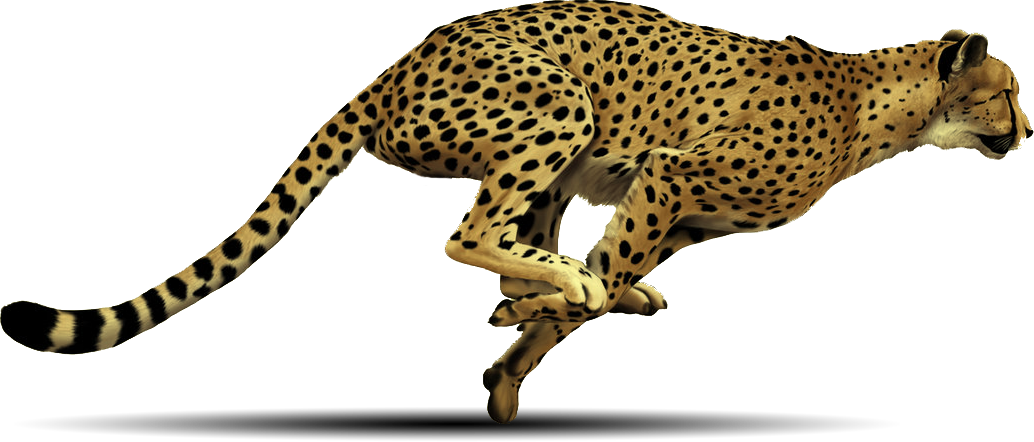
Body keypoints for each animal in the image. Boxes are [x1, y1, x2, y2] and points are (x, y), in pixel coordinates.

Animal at [2, 0, 1030, 424]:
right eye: (1007, 92)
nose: (1027, 132)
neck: (882, 107)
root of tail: (394, 67)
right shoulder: (669, 178)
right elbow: (597, 282)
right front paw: (536, 330)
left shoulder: (679, 212)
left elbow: (597, 286)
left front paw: (515, 351)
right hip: (558, 105)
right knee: (469, 236)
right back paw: (556, 281)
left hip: (557, 157)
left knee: (519, 236)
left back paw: (548, 287)